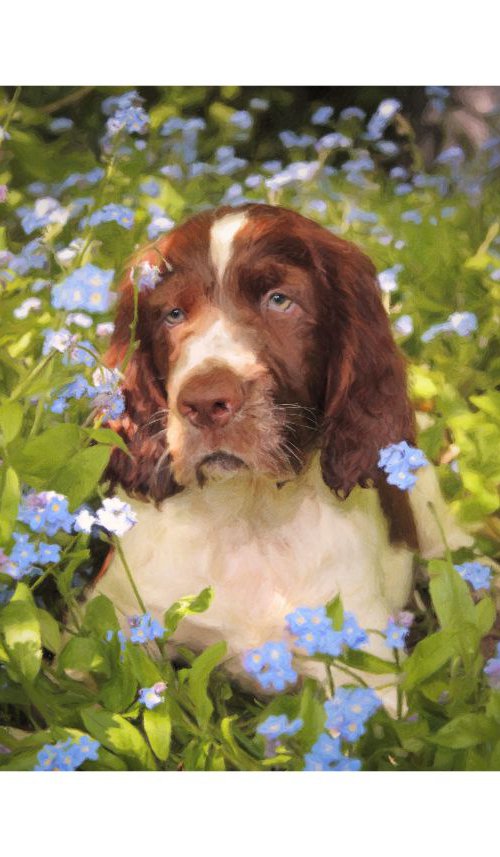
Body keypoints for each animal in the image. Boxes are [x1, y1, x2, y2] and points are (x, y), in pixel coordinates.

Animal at [92, 204, 470, 692]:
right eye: (172, 314)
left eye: (279, 300)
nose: (204, 403)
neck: (247, 516)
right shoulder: (114, 619)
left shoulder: (363, 671)